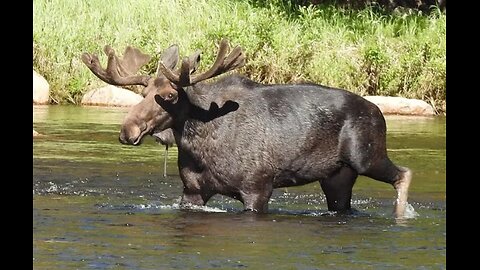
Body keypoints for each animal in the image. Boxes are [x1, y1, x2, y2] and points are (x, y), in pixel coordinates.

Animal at [82, 39, 412, 218]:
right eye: (143, 92)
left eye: (171, 96)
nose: (128, 130)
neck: (200, 145)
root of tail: (378, 112)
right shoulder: (192, 191)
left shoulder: (258, 187)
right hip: (337, 177)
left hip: (365, 156)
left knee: (404, 173)